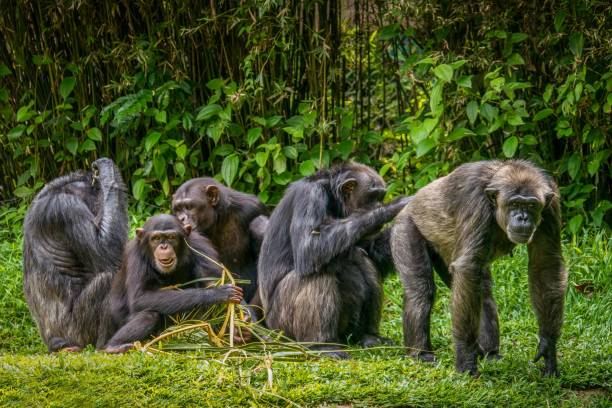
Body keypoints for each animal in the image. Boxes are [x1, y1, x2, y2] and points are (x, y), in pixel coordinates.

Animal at [23, 157, 128, 350]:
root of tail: (54, 342)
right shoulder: (68, 209)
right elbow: (106, 251)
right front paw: (106, 171)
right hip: (79, 332)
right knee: (110, 278)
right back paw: (107, 346)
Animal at [103, 214, 244, 354]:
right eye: (156, 238)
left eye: (171, 237)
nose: (164, 246)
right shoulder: (135, 256)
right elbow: (140, 297)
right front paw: (216, 294)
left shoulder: (200, 246)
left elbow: (211, 279)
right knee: (149, 315)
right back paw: (114, 346)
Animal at [172, 178, 268, 306]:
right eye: (177, 209)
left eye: (190, 207)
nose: (181, 218)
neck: (218, 217)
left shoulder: (254, 208)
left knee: (258, 225)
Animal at [258, 163, 412, 356]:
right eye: (373, 197)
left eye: (380, 196)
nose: (379, 202)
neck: (332, 197)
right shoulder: (310, 195)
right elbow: (309, 246)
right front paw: (390, 208)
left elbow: (373, 251)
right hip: (282, 329)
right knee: (317, 274)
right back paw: (322, 345)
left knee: (364, 260)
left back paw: (369, 336)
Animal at [392, 159, 568, 376]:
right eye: (514, 204)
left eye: (531, 205)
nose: (523, 217)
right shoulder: (475, 201)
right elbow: (468, 267)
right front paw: (466, 359)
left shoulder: (551, 206)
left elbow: (545, 264)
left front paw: (548, 347)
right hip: (405, 229)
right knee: (420, 291)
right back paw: (420, 353)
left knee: (481, 291)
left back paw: (490, 353)